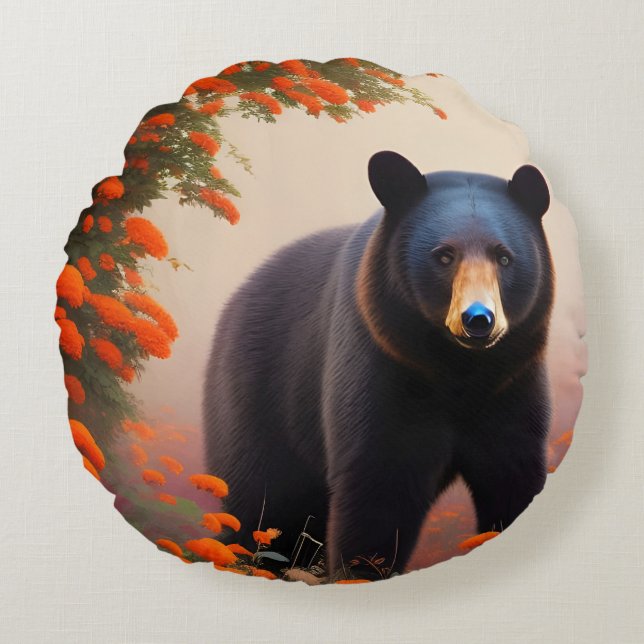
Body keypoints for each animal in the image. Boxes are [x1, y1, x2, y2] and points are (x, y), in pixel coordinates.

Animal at [203, 150, 554, 581]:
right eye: (444, 256)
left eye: (504, 257)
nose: (478, 319)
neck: (458, 369)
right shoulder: (379, 362)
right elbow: (378, 483)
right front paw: (360, 570)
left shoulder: (512, 380)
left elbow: (513, 473)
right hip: (254, 396)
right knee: (261, 503)